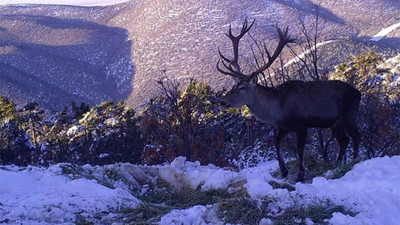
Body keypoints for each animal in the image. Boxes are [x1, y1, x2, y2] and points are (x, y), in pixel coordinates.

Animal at [217, 18, 360, 181]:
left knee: (356, 136)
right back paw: (337, 165)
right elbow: (277, 143)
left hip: (349, 114)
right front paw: (284, 171)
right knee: (344, 140)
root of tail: (358, 92)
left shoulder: (301, 124)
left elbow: (299, 149)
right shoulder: (283, 127)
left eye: (242, 87)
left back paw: (354, 161)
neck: (278, 109)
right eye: (234, 85)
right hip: (335, 123)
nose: (222, 101)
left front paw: (300, 174)